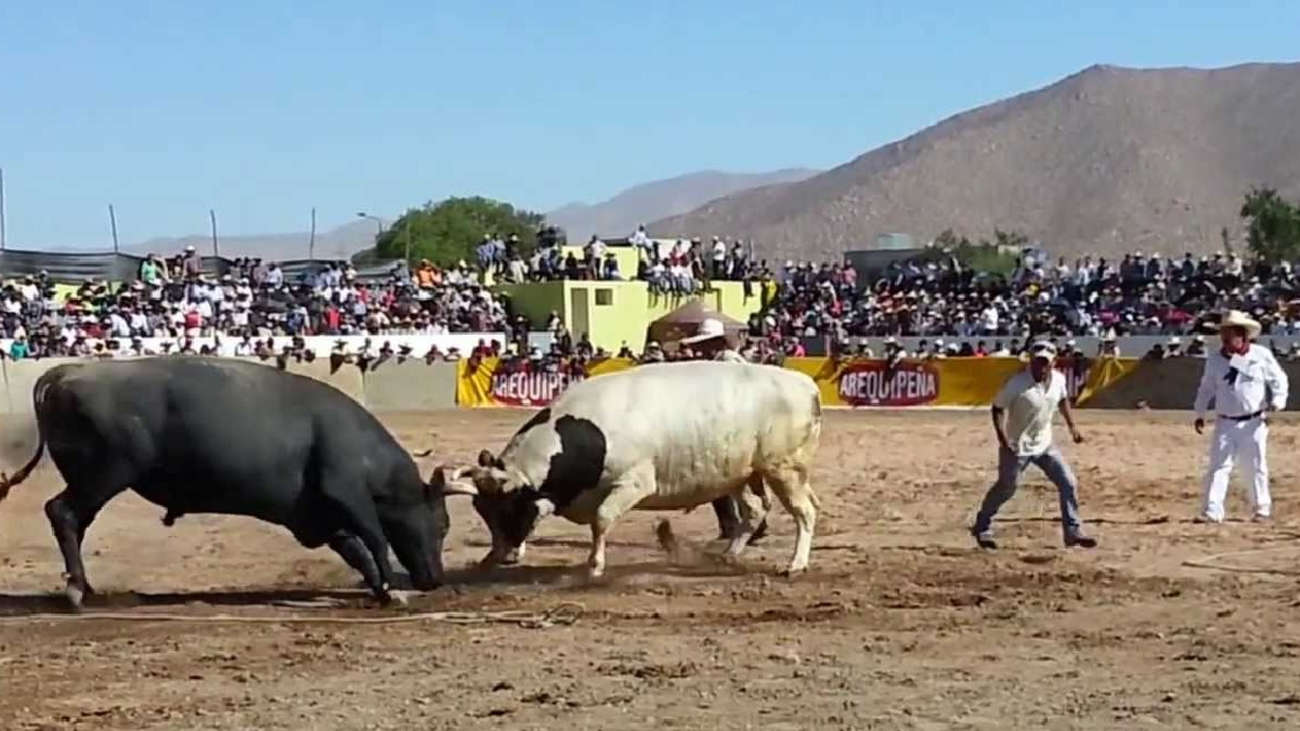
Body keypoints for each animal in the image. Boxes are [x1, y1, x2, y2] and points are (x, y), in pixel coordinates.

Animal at [0, 356, 467, 603]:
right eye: (442, 523)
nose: (435, 579)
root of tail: (65, 372)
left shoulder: (316, 517)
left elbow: (354, 549)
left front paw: (379, 589)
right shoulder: (347, 493)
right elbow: (375, 537)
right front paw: (391, 587)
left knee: (72, 520)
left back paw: (87, 586)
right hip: (104, 476)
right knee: (62, 513)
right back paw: (76, 590)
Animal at [439, 358, 821, 574]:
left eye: (510, 509)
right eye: (484, 512)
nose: (499, 556)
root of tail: (805, 384)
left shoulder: (634, 483)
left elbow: (602, 519)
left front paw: (594, 565)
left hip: (784, 469)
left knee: (805, 513)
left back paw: (796, 564)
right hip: (743, 474)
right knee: (754, 511)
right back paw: (728, 555)